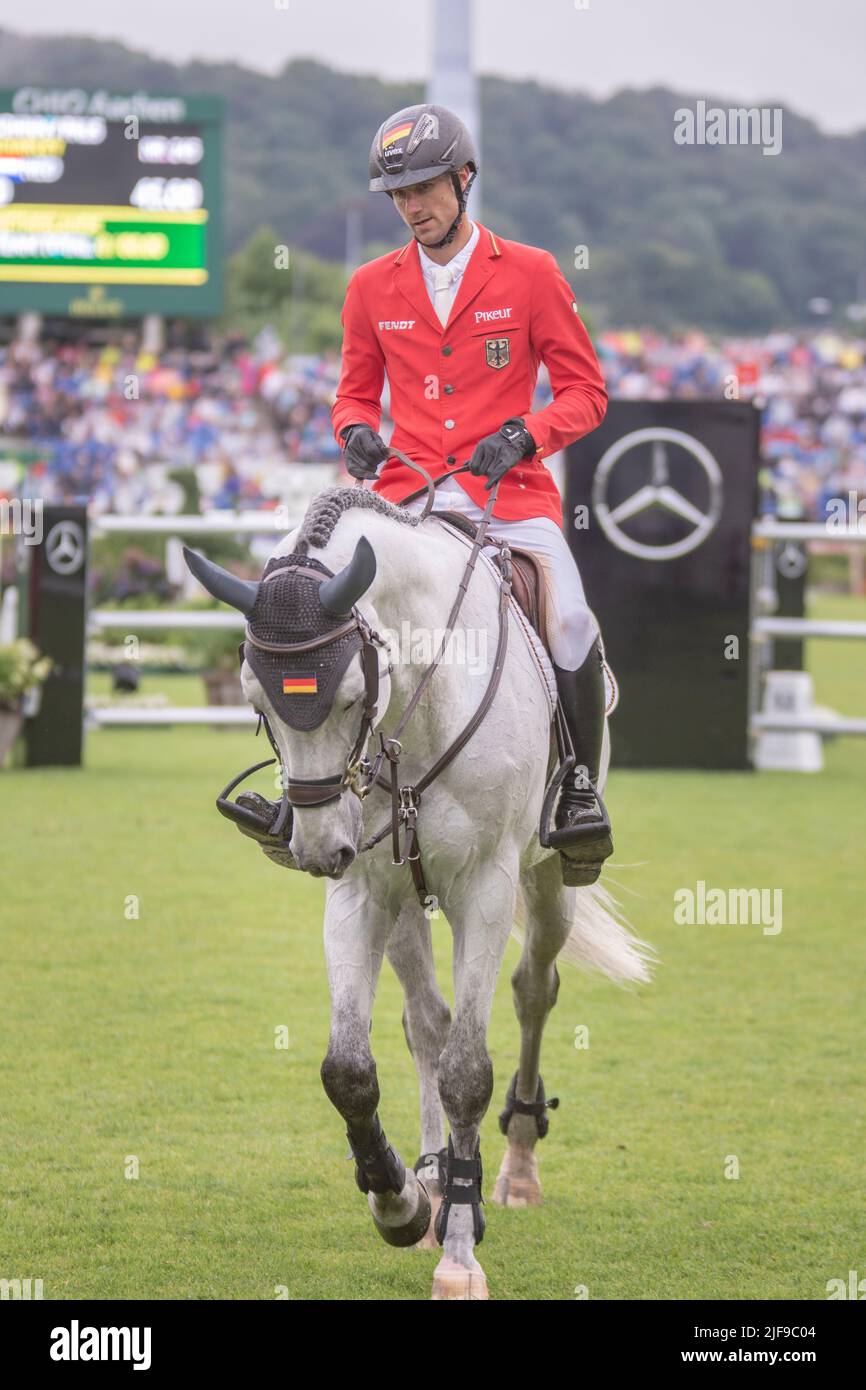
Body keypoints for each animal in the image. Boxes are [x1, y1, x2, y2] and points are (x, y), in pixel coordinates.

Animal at [186, 483, 653, 1295]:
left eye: (350, 696)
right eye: (257, 701)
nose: (317, 849)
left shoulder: (485, 887)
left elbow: (467, 1072)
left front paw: (460, 1258)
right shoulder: (363, 890)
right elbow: (350, 1068)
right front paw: (400, 1199)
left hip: (546, 878)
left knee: (534, 989)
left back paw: (514, 1166)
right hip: (405, 894)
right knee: (426, 1023)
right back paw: (436, 1176)